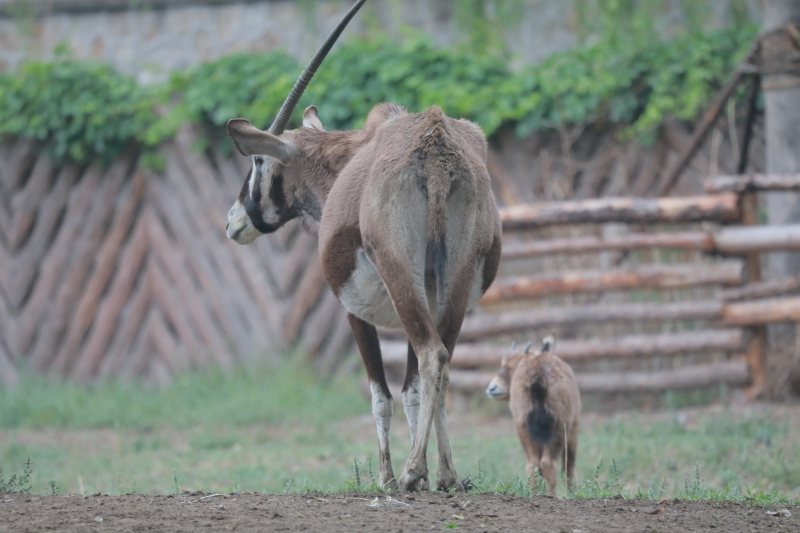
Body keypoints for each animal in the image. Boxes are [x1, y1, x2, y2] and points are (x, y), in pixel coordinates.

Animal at [484, 336, 580, 494]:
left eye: (516, 364)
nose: (492, 388)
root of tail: (537, 372)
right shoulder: (573, 430)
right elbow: (569, 467)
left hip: (523, 427)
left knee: (533, 465)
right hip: (559, 428)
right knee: (549, 464)